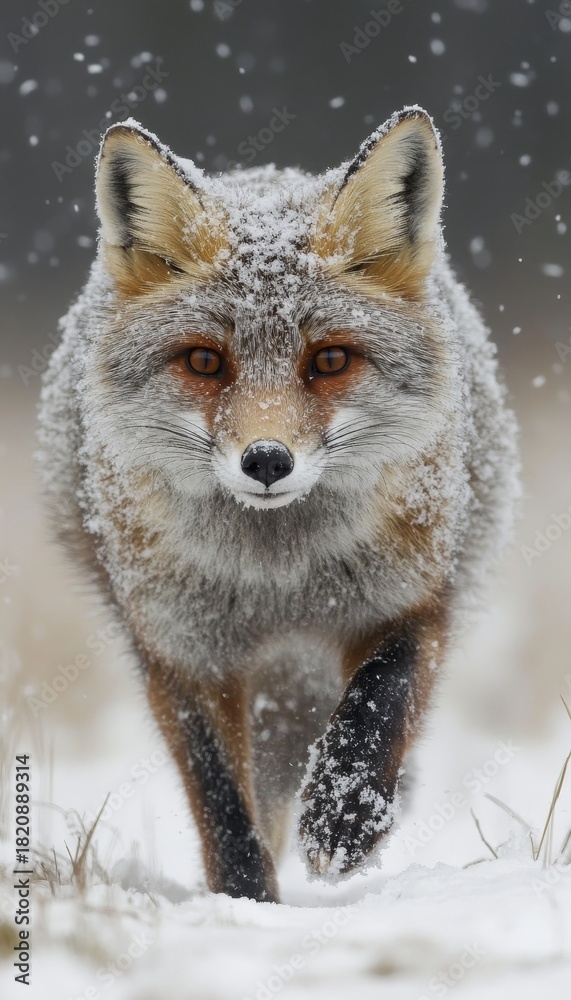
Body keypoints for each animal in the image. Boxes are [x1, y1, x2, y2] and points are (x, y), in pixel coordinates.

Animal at [38, 106, 518, 903]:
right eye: (205, 361)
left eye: (329, 360)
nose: (266, 460)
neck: (279, 579)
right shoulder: (181, 648)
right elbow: (222, 799)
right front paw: (245, 902)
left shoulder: (413, 597)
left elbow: (379, 703)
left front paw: (346, 813)